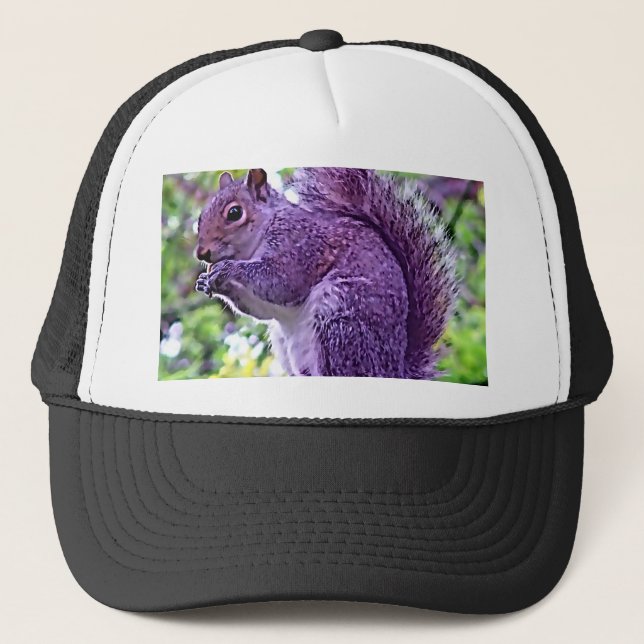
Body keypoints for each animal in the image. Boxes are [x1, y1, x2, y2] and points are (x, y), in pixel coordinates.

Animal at [195, 167, 457, 379]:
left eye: (234, 213)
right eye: (201, 217)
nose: (201, 253)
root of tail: (393, 372)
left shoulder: (300, 245)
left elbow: (281, 282)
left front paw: (229, 269)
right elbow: (263, 309)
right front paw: (207, 282)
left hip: (339, 321)